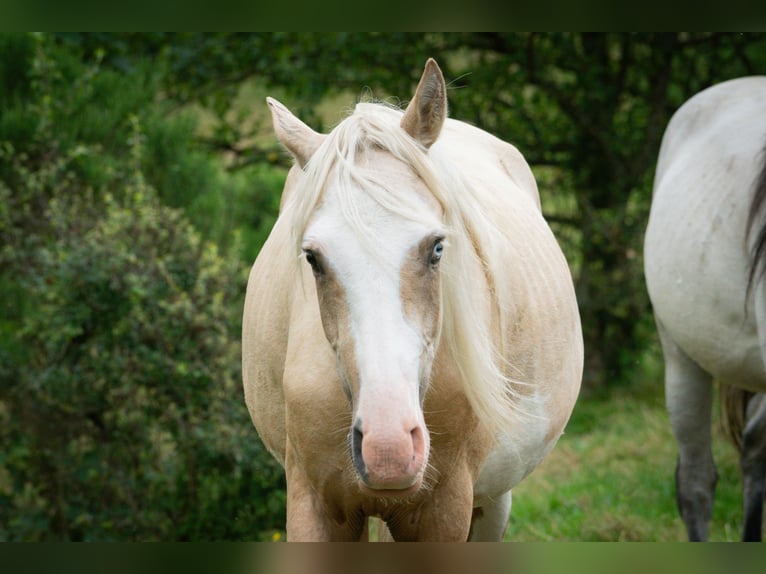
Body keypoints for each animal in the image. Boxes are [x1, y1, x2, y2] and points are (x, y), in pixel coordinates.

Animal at [242, 56, 584, 544]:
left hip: (492, 500)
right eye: (312, 258)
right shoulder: (314, 505)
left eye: (437, 247)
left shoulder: (443, 510)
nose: (388, 448)